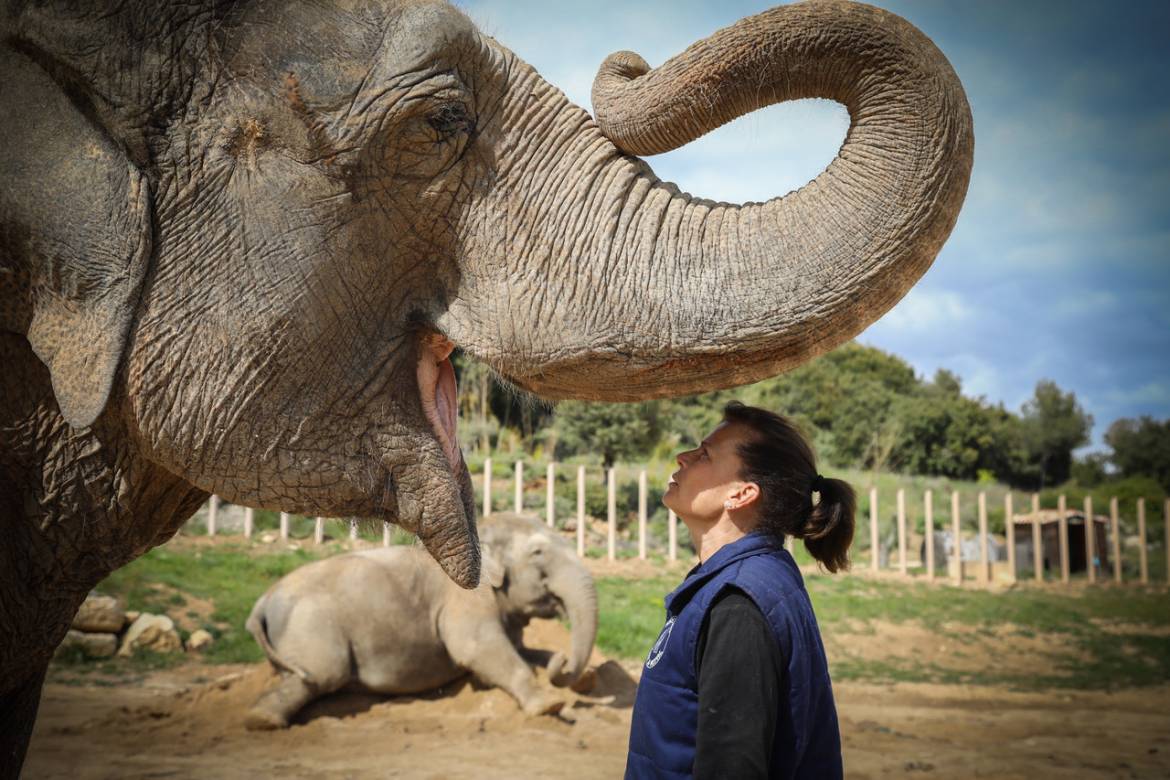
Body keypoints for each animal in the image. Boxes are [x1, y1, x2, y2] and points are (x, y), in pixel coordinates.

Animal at [243, 514, 599, 729]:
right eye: (538, 553)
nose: (566, 658)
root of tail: (261, 601)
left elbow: (523, 651)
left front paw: (579, 675)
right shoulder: (465, 600)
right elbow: (480, 650)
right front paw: (550, 706)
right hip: (311, 628)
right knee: (318, 675)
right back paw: (264, 720)